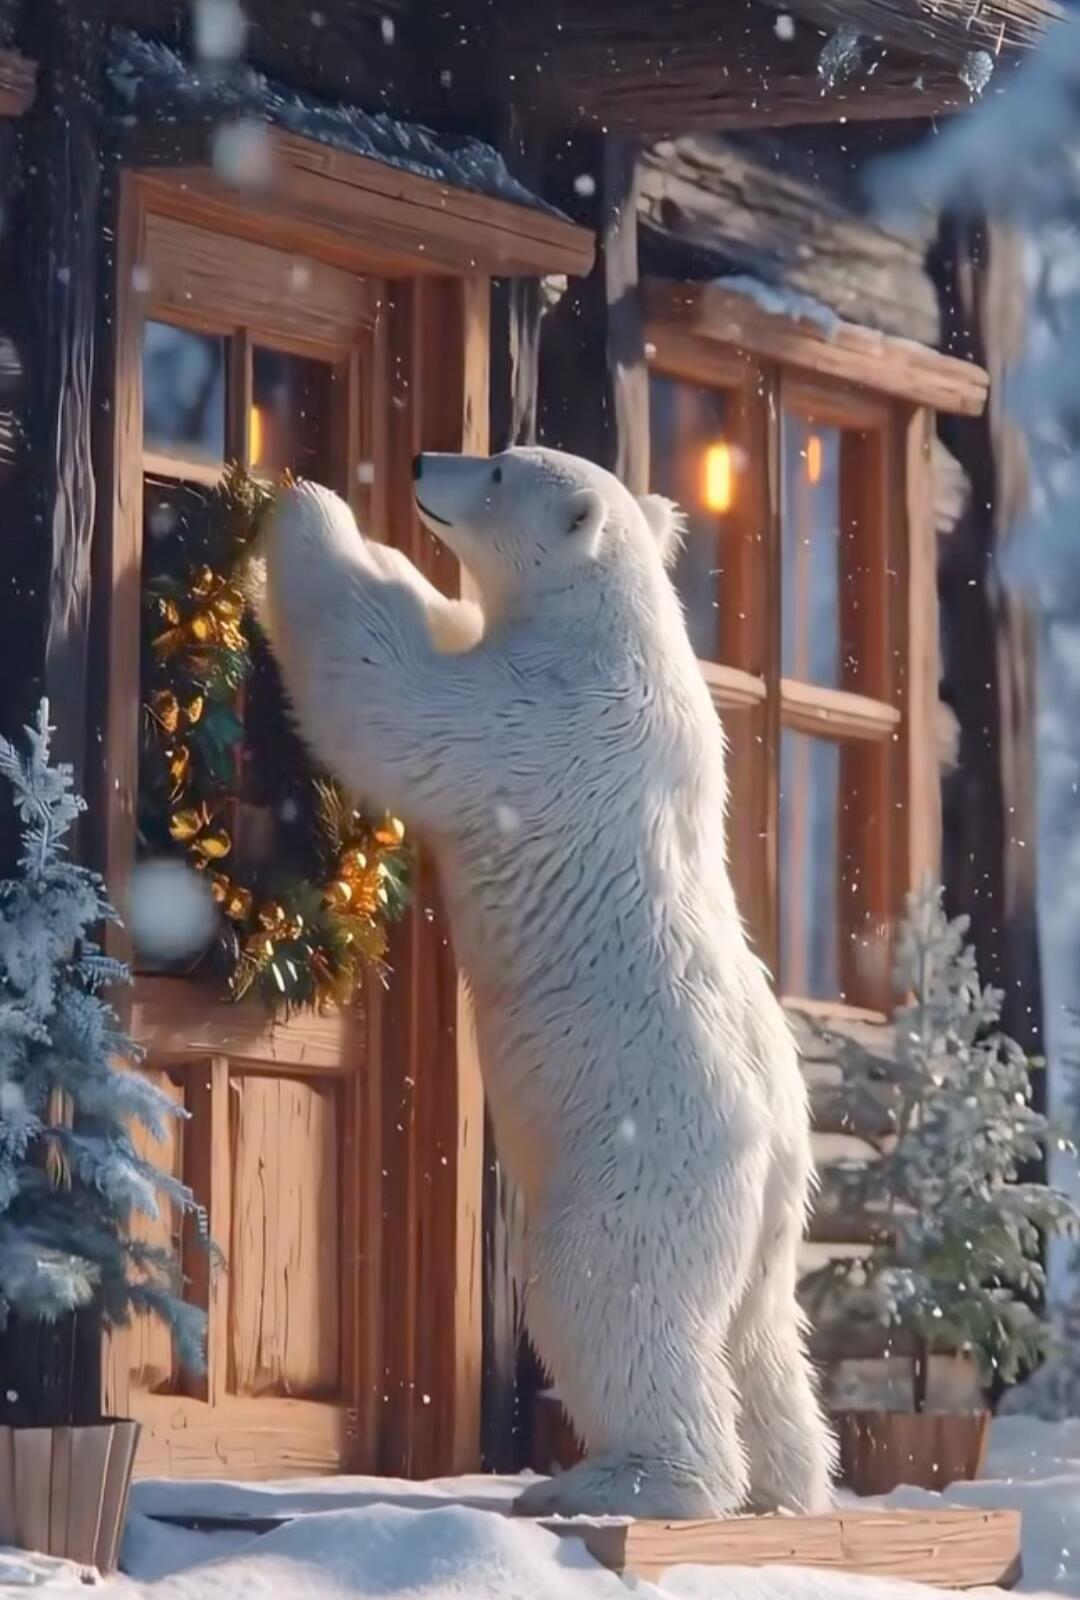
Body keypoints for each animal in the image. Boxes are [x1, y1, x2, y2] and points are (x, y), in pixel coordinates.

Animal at [258, 446, 837, 1521]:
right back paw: (789, 1489)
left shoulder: (540, 721)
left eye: (495, 469)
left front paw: (309, 511)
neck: (620, 632)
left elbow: (399, 701)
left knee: (607, 1297)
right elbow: (439, 633)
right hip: (774, 1218)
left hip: (644, 1166)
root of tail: (778, 1152)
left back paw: (627, 1480)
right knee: (763, 1338)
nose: (419, 460)